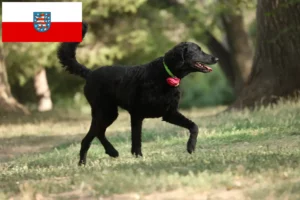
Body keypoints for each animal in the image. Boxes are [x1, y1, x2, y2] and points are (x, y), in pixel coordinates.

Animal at [56, 22, 218, 165]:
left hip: (107, 113)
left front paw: (191, 147)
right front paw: (138, 156)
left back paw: (110, 152)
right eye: (197, 50)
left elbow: (194, 126)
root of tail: (90, 73)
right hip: (106, 111)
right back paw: (85, 161)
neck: (165, 74)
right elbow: (136, 140)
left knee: (99, 132)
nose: (216, 58)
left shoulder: (169, 113)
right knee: (89, 137)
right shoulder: (137, 114)